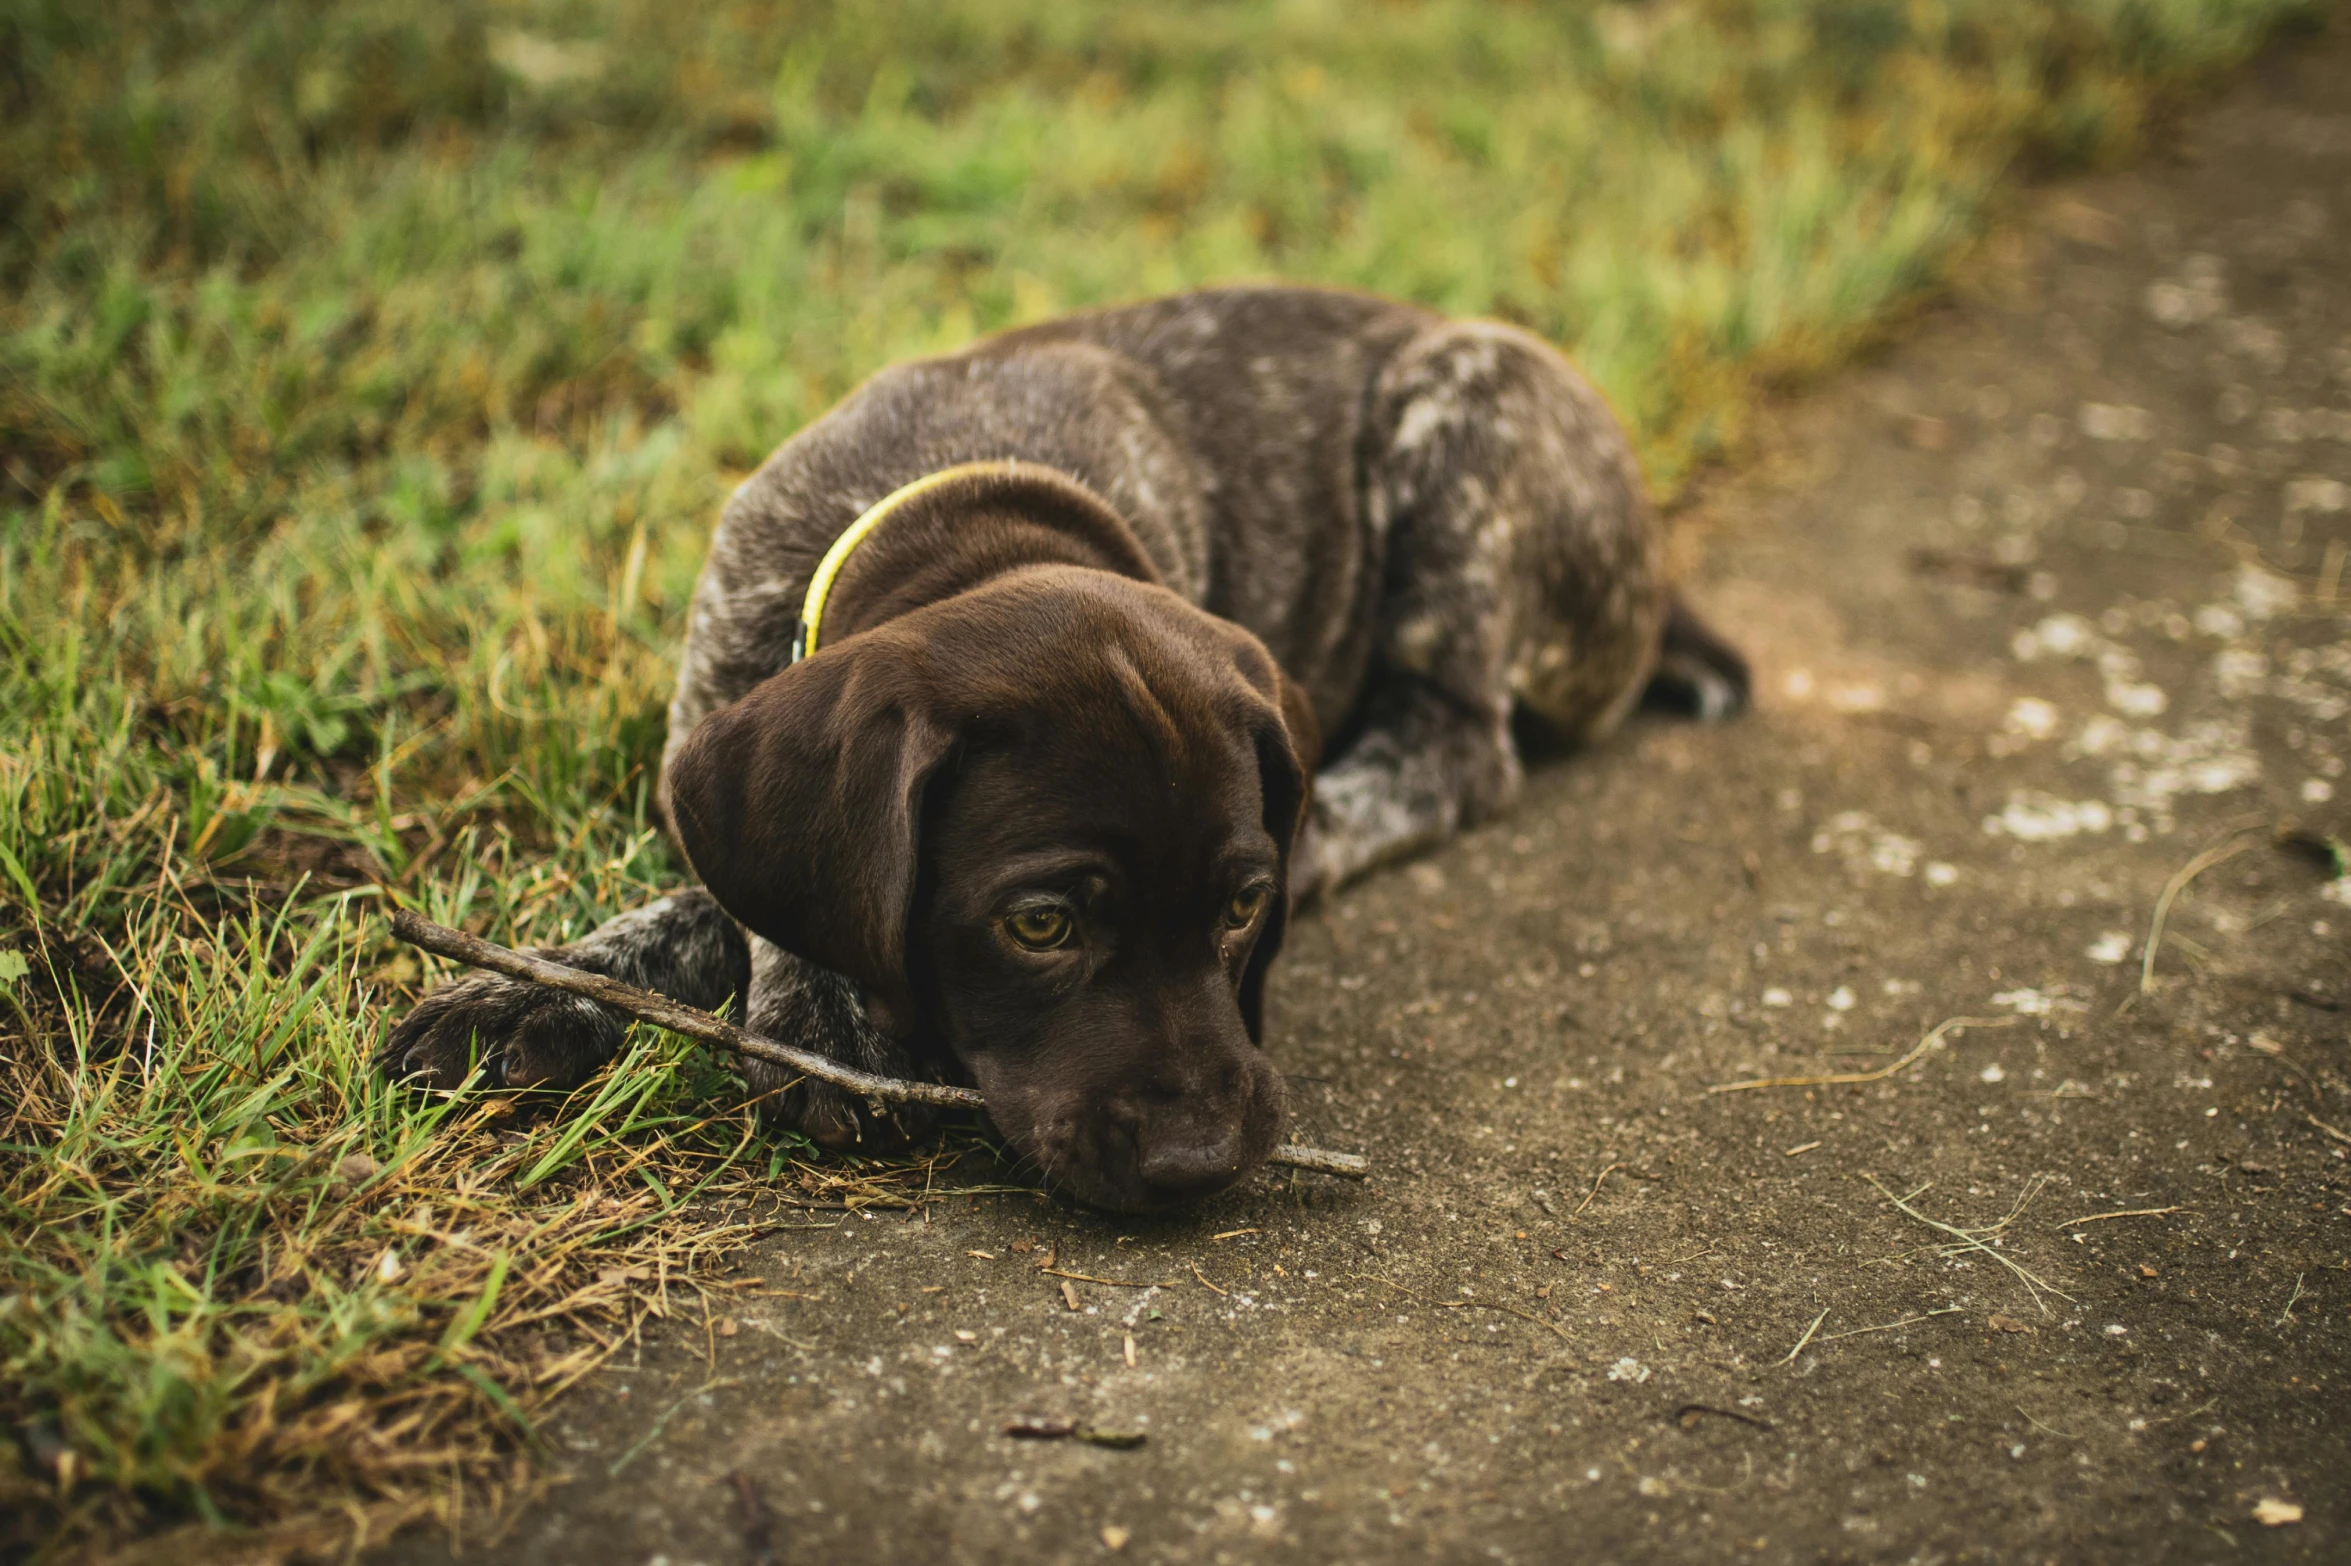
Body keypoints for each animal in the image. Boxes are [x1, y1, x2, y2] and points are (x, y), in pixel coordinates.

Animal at [385, 283, 1749, 1203]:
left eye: (1239, 909)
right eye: (1039, 925)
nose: (1203, 1160)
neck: (960, 505)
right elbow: (707, 902)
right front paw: (523, 991)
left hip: (1468, 415)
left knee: (1458, 748)